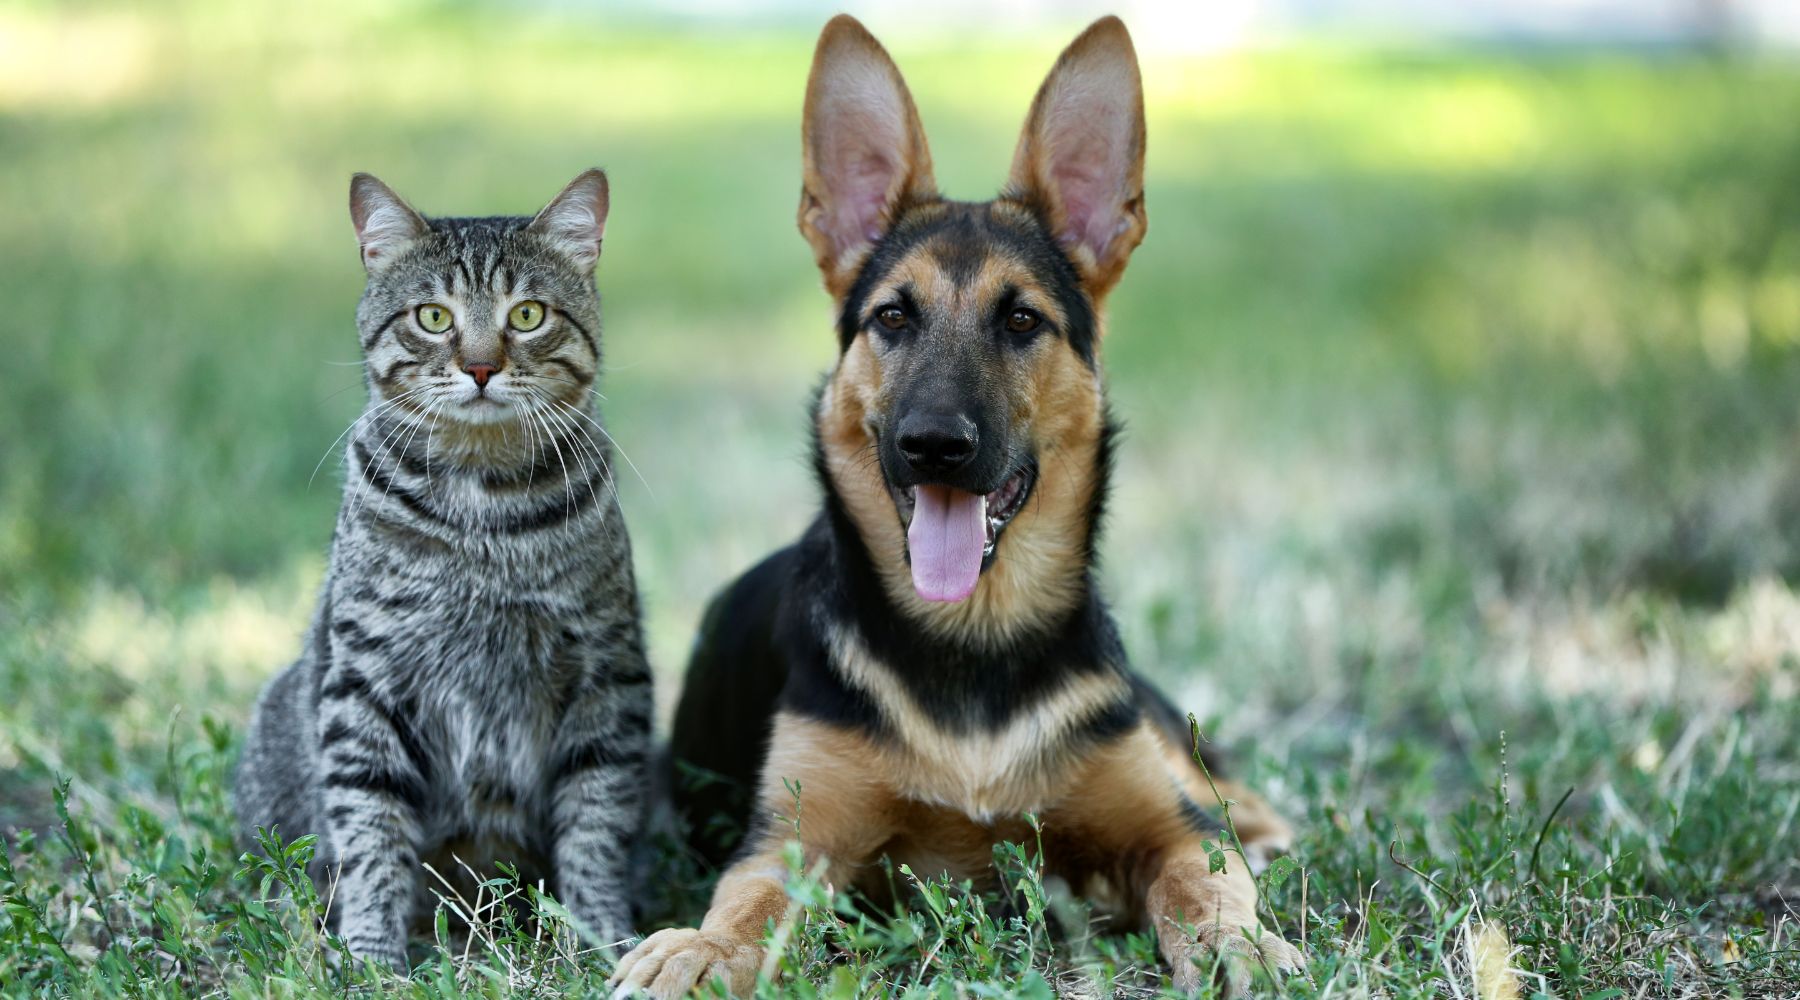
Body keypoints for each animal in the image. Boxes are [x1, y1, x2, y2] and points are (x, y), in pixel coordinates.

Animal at [235, 169, 651, 971]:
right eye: (433, 317)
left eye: (527, 314)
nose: (481, 366)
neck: (482, 514)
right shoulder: (365, 679)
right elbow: (371, 831)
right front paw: (372, 956)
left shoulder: (606, 672)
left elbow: (596, 822)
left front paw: (602, 940)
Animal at [612, 17, 1303, 1000]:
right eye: (893, 318)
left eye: (1022, 321)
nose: (933, 445)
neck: (973, 640)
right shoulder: (791, 844)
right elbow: (745, 904)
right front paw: (700, 948)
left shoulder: (1163, 829)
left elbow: (1205, 884)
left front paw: (1246, 947)